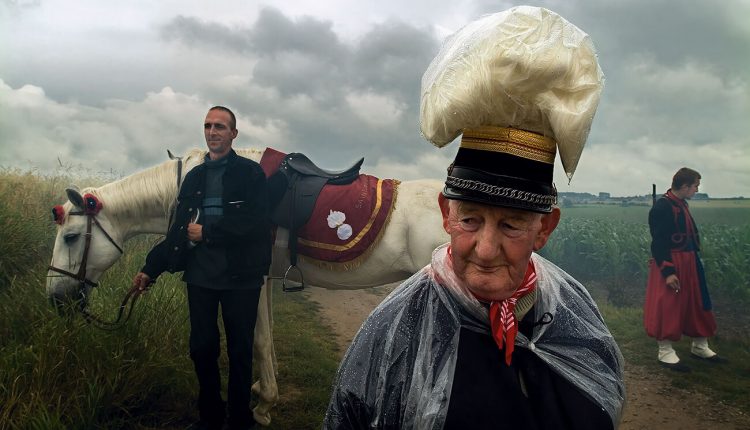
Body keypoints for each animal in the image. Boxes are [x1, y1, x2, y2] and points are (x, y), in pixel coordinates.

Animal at [47, 148, 450, 426]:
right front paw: (261, 391)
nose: (55, 298)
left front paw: (262, 405)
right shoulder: (265, 278)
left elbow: (256, 339)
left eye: (70, 237)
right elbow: (266, 336)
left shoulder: (246, 282)